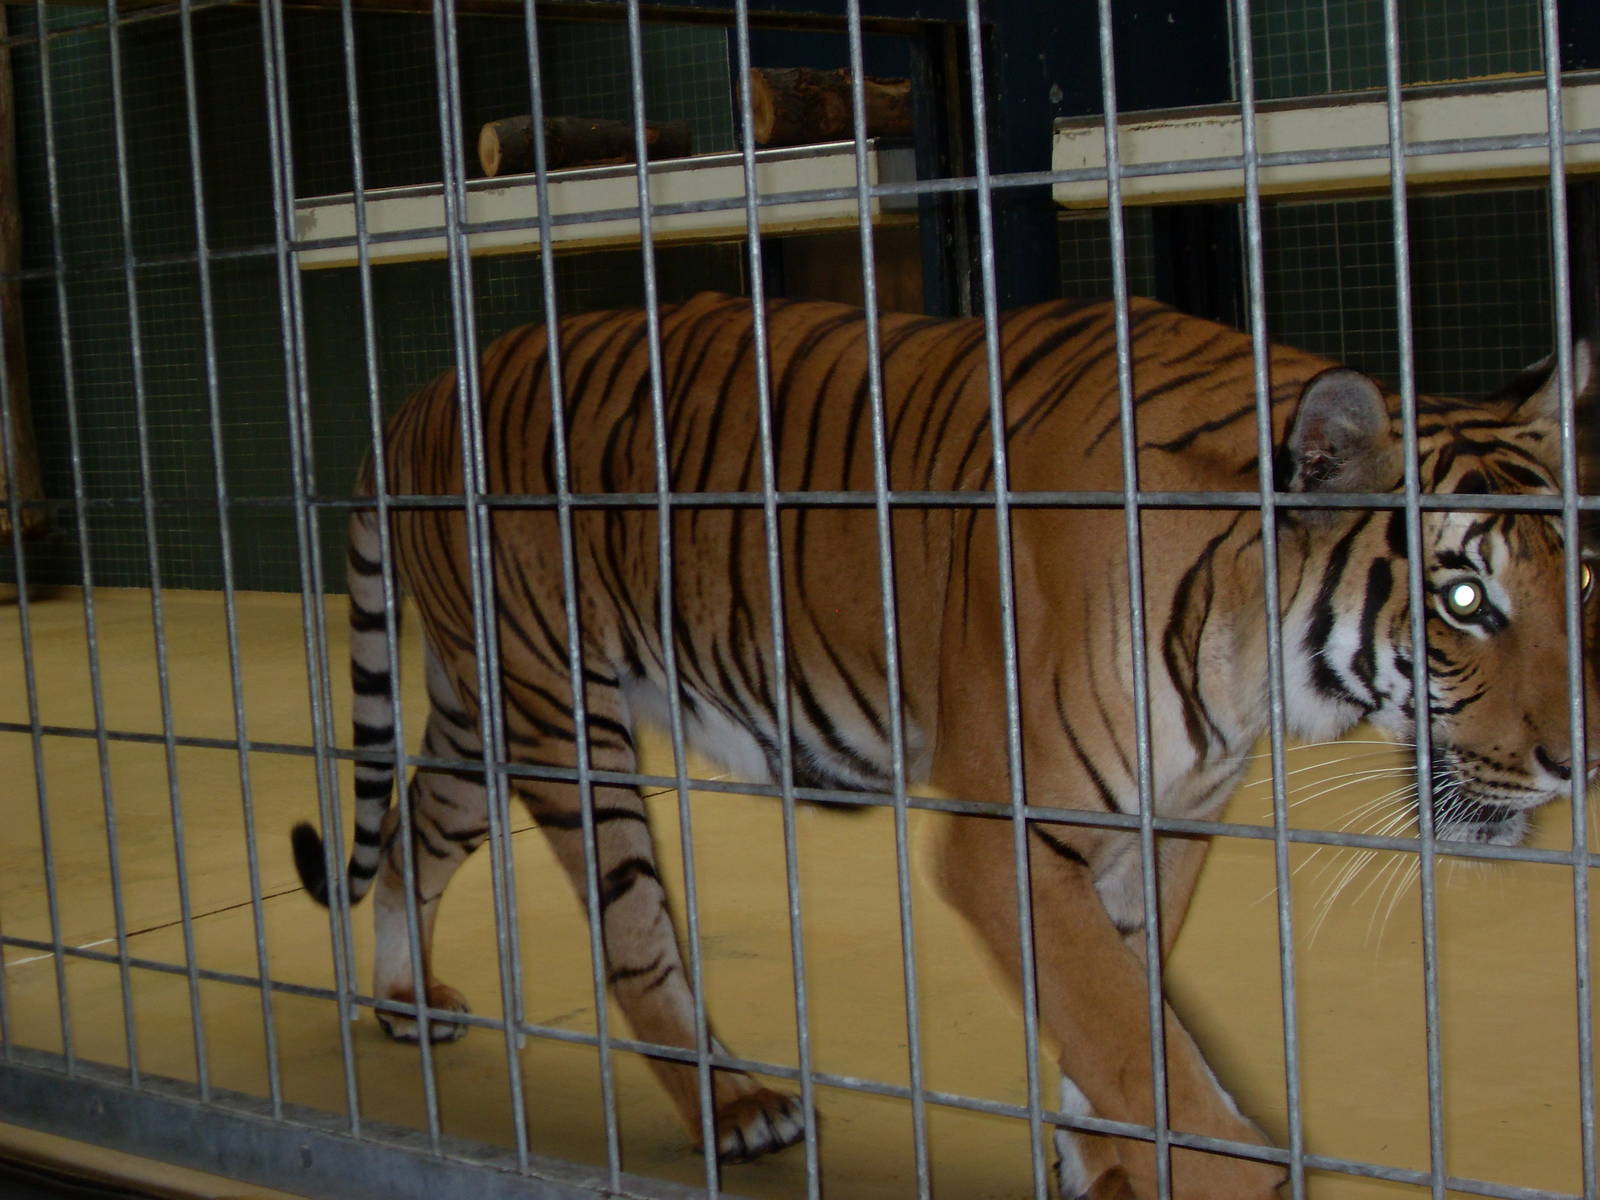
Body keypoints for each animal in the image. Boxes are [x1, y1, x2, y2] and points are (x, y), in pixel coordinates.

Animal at [291, 291, 1599, 1199]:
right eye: (1463, 600)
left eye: (1579, 575)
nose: (1577, 762)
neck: (1250, 646)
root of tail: (420, 397)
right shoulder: (1002, 835)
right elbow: (1128, 1030)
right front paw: (1214, 1172)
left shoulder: (1164, 821)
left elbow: (1118, 1008)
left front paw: (1101, 1171)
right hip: (566, 719)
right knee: (632, 933)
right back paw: (733, 1107)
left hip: (483, 710)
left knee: (410, 835)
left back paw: (405, 1002)